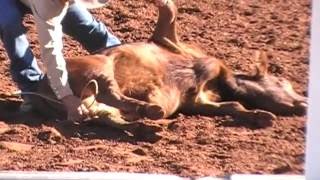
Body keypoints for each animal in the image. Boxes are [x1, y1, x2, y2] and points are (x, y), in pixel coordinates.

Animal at [30, 0, 308, 132]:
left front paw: (262, 115)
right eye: (282, 81)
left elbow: (233, 105)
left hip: (100, 103)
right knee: (112, 93)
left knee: (109, 116)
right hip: (101, 67)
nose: (304, 102)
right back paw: (151, 111)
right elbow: (171, 12)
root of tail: (41, 88)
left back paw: (145, 124)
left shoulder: (198, 102)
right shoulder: (169, 39)